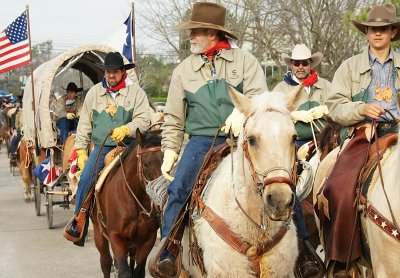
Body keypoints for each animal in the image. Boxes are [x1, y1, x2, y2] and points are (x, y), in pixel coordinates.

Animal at [92, 130, 162, 278]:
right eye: (145, 164)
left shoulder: (148, 239)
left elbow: (138, 271)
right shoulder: (116, 237)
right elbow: (124, 271)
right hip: (99, 233)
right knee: (106, 262)